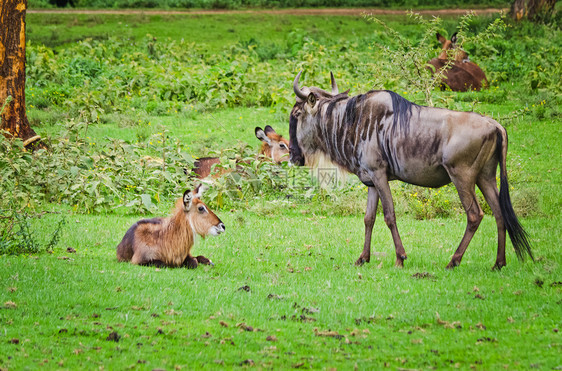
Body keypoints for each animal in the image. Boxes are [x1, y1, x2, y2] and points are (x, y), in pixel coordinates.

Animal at [290, 72, 532, 270]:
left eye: (297, 113)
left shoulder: (379, 175)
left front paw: (400, 258)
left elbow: (389, 216)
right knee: (499, 214)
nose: (293, 156)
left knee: (474, 215)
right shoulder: (371, 180)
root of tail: (495, 125)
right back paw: (498, 263)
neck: (353, 121)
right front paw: (362, 258)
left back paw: (453, 261)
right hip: (486, 177)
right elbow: (369, 218)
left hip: (462, 177)